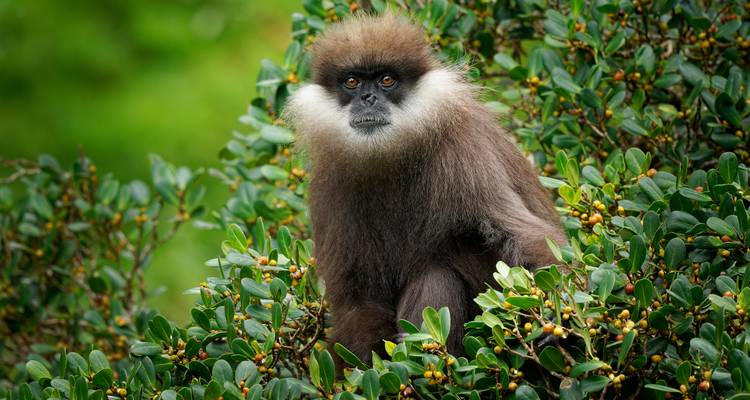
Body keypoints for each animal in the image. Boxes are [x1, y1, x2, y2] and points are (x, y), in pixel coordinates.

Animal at [284, 13, 567, 363]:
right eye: (351, 82)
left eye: (387, 80)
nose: (368, 99)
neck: (392, 155)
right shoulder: (331, 181)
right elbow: (358, 301)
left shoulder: (462, 150)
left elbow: (520, 233)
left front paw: (555, 307)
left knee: (437, 271)